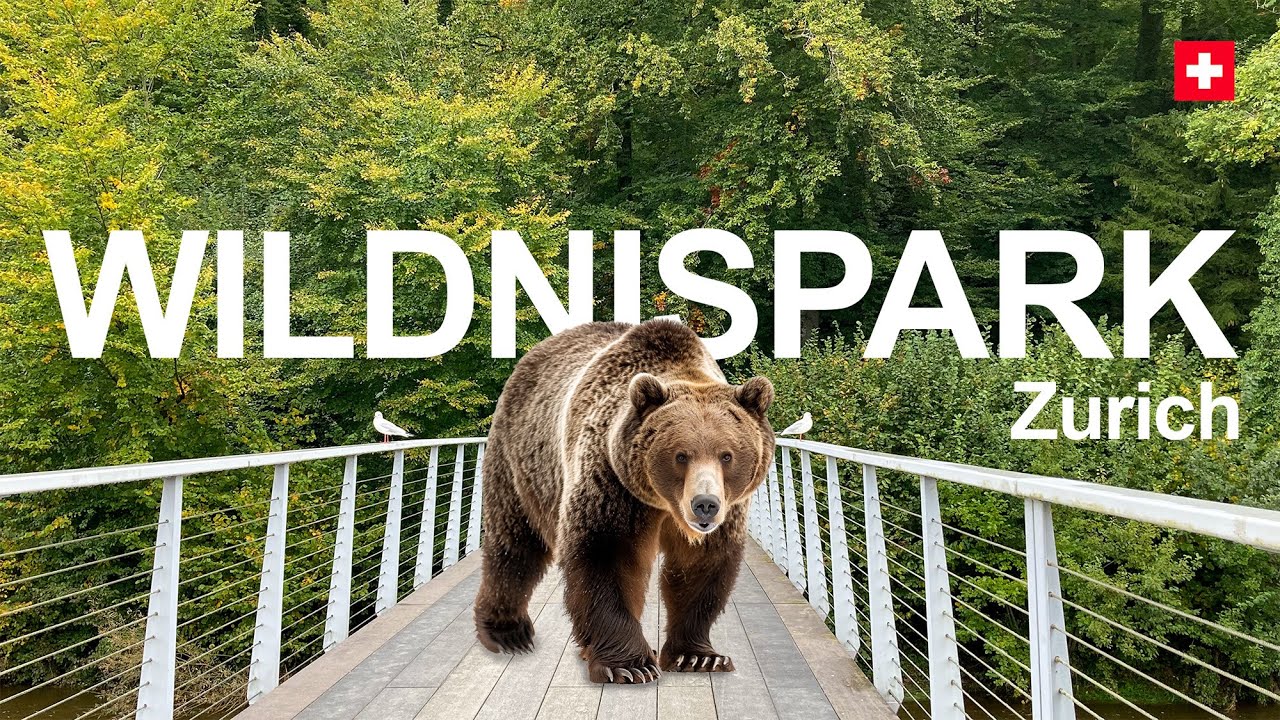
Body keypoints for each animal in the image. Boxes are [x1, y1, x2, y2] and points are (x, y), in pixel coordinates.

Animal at [473, 319, 775, 684]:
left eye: (727, 455)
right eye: (681, 455)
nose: (705, 504)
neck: (662, 503)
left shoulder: (726, 512)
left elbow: (700, 567)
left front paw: (699, 657)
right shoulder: (612, 482)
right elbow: (606, 555)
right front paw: (630, 665)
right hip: (521, 461)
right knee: (514, 544)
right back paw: (509, 634)